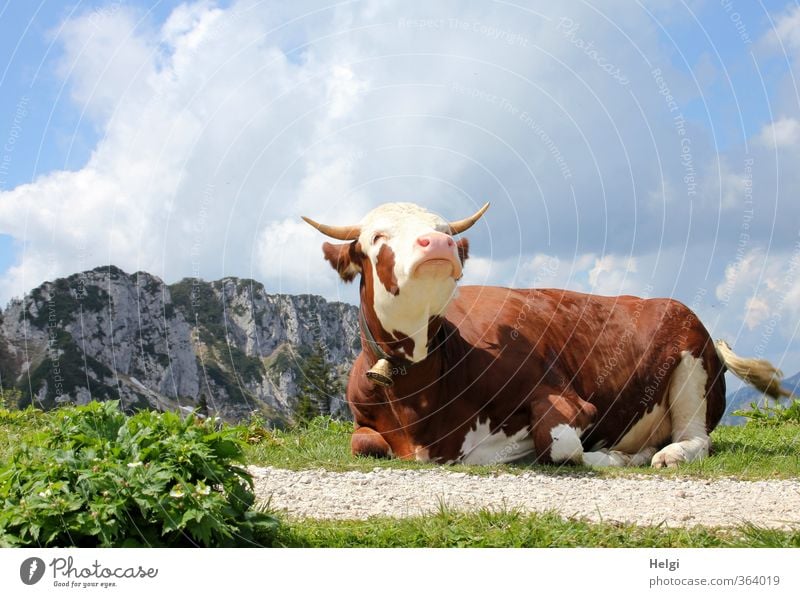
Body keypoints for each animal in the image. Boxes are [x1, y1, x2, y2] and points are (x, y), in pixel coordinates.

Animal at [304, 203, 792, 468]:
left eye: (444, 230)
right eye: (376, 236)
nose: (438, 245)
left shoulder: (569, 400)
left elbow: (558, 447)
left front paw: (610, 457)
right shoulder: (366, 424)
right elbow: (363, 442)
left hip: (691, 366)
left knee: (695, 439)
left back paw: (658, 454)